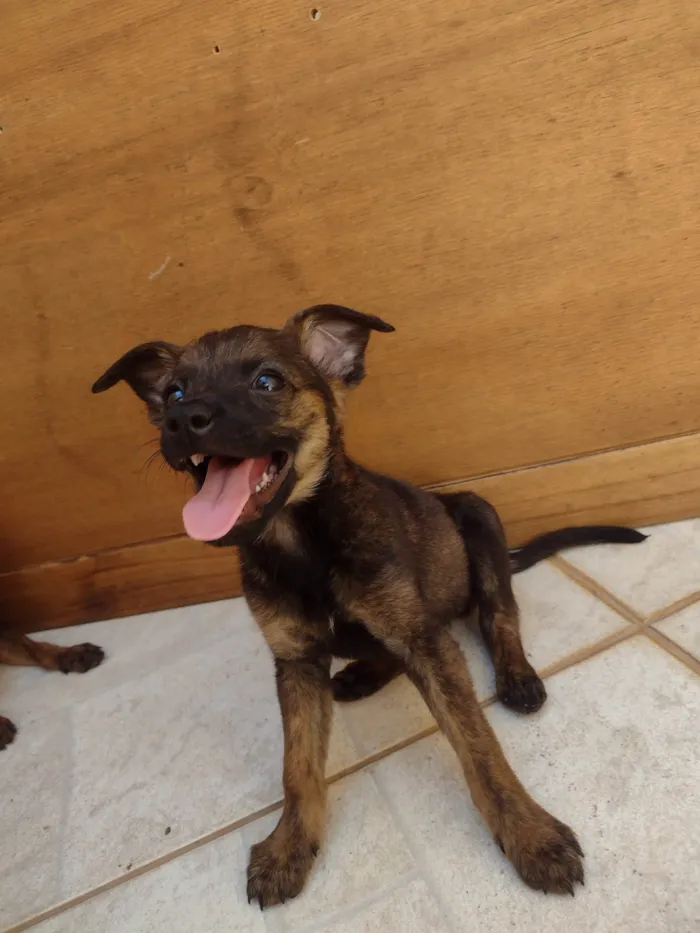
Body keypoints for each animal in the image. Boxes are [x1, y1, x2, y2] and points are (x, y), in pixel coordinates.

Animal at [93, 310, 644, 908]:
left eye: (267, 382)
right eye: (173, 392)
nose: (180, 420)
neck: (303, 543)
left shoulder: (425, 642)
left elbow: (479, 747)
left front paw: (530, 834)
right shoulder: (297, 662)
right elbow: (298, 766)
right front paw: (289, 847)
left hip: (479, 518)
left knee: (499, 615)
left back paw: (516, 675)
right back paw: (361, 675)